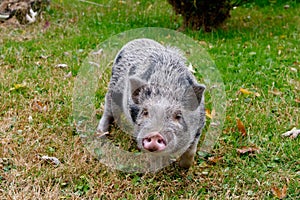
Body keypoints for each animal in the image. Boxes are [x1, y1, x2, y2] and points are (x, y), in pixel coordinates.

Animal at [97, 38, 205, 169]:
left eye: (178, 115)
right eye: (145, 112)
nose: (155, 135)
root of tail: (135, 41)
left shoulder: (199, 126)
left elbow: (191, 150)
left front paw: (185, 168)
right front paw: (155, 169)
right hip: (113, 89)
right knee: (108, 110)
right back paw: (100, 133)